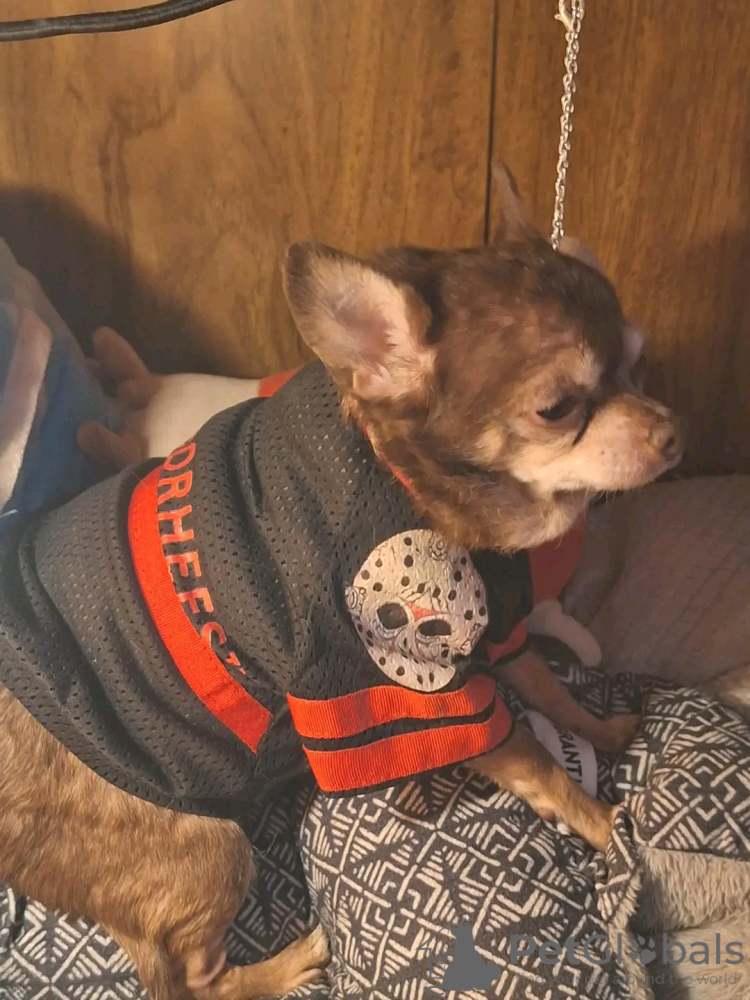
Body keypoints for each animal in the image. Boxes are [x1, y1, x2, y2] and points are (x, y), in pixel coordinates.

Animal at [0, 170, 683, 1000]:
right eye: (556, 409)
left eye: (639, 362)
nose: (673, 433)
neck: (415, 484)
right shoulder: (414, 693)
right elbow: (533, 759)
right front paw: (600, 821)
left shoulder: (497, 631)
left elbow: (545, 687)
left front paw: (602, 730)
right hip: (208, 848)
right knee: (200, 979)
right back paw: (292, 962)